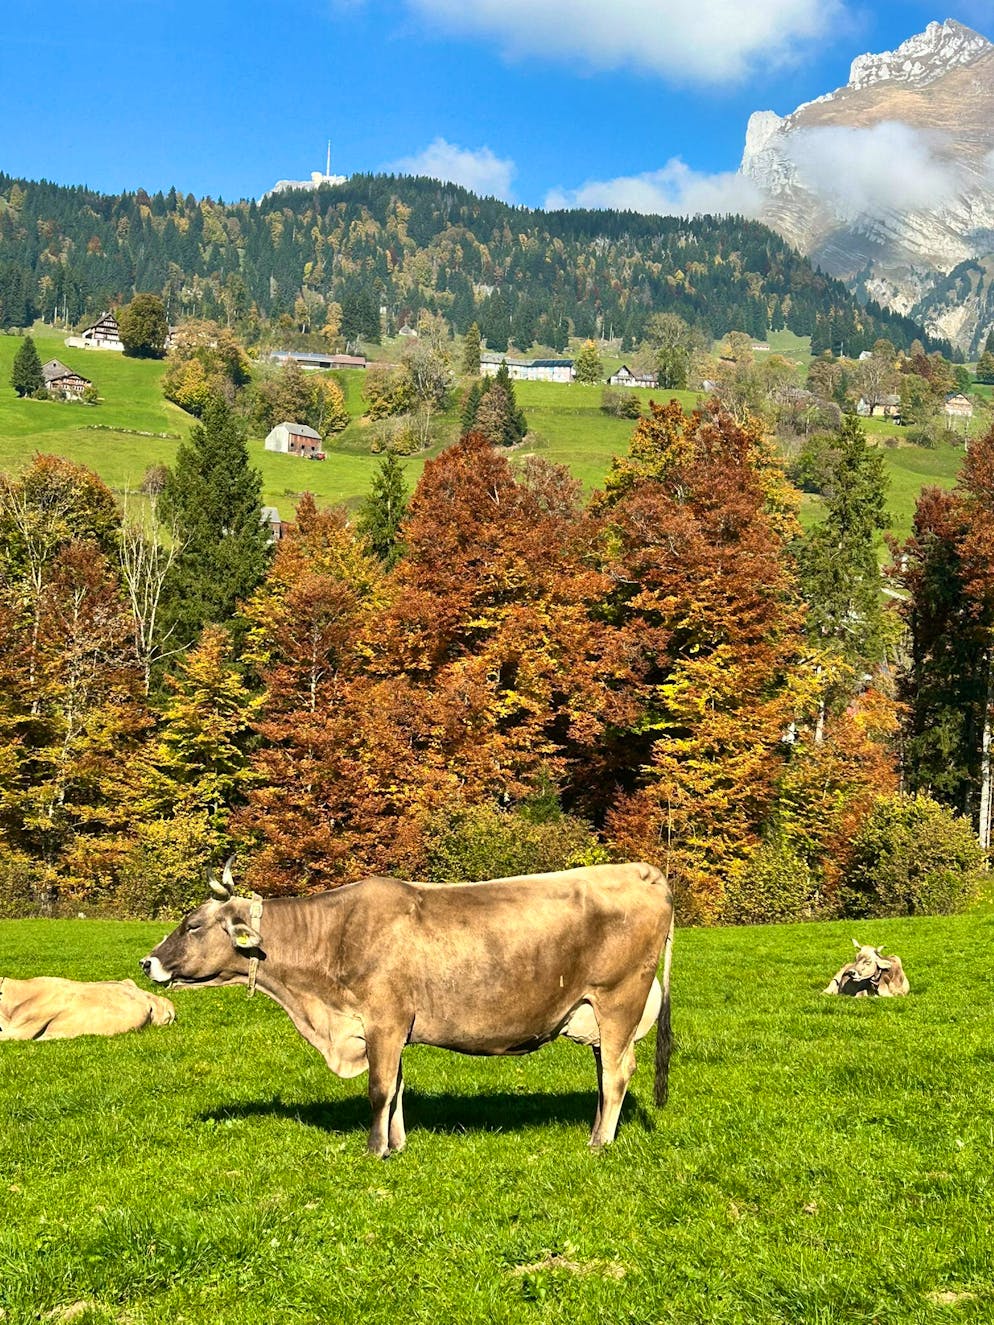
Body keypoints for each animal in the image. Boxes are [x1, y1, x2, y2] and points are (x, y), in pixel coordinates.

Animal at [141, 860, 675, 1157]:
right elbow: (396, 1088)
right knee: (605, 1073)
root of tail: (643, 871)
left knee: (617, 1072)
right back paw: (596, 1130)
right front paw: (396, 1145)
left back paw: (600, 1144)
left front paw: (374, 1150)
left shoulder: (383, 1020)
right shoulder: (391, 1030)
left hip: (618, 1000)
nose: (147, 962)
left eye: (192, 924)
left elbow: (379, 1090)